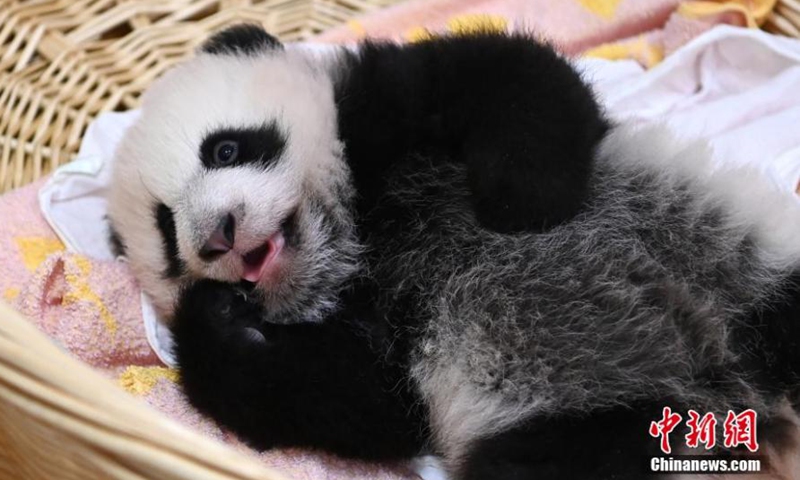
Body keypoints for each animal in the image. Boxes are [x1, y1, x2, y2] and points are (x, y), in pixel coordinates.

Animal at [106, 24, 800, 479]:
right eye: (167, 232)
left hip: (747, 265)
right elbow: (364, 404)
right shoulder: (388, 340)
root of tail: (729, 394)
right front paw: (213, 315)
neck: (355, 241)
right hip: (572, 424)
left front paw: (519, 205)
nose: (218, 235)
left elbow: (515, 79)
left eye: (224, 148)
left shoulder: (377, 110)